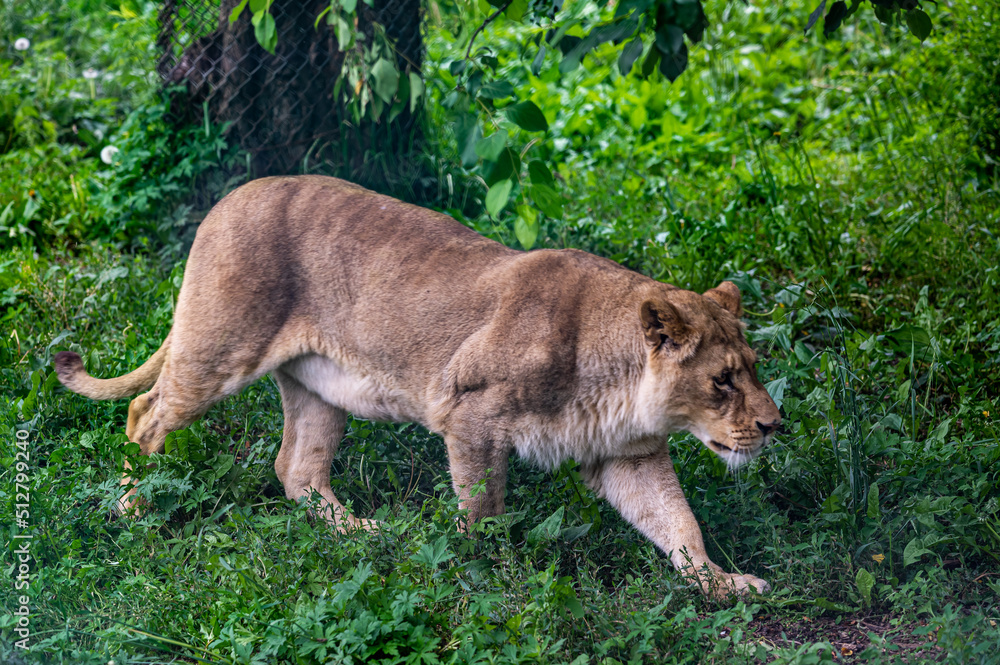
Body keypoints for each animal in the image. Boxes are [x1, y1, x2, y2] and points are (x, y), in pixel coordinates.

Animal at [55, 175, 781, 597]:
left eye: (753, 366)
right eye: (722, 380)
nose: (774, 426)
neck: (619, 381)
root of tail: (229, 197)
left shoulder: (628, 455)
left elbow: (678, 523)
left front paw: (724, 585)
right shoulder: (470, 413)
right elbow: (484, 513)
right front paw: (493, 583)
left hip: (321, 387)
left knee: (295, 469)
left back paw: (367, 534)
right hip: (219, 345)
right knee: (146, 412)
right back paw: (133, 510)